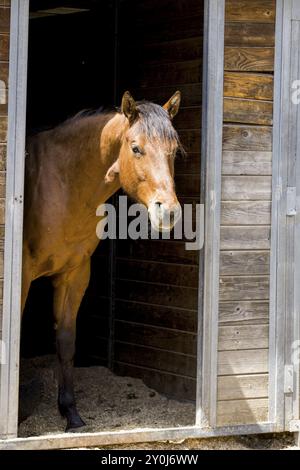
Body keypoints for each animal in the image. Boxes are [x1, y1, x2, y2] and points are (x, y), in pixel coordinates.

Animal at [22, 90, 182, 432]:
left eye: (174, 151)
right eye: (136, 148)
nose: (169, 212)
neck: (63, 183)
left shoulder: (75, 274)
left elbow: (66, 340)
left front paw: (70, 413)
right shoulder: (23, 274)